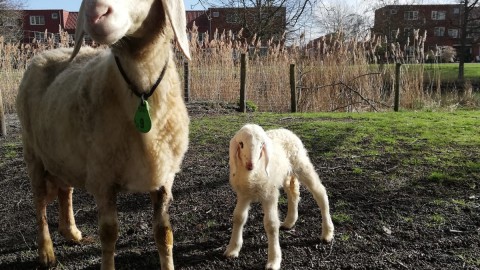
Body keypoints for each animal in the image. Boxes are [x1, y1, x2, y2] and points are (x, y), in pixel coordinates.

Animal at [15, 0, 191, 270]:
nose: (94, 14)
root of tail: (46, 53)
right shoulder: (103, 178)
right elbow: (109, 233)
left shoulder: (164, 178)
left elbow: (164, 233)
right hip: (33, 153)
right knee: (39, 202)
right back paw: (46, 252)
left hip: (64, 153)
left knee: (65, 191)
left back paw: (71, 232)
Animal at [225, 123, 334, 268]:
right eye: (241, 144)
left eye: (262, 145)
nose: (250, 165)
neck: (253, 174)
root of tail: (284, 130)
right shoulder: (243, 195)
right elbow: (238, 217)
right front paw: (232, 249)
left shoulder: (270, 195)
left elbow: (271, 224)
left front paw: (274, 260)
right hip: (286, 173)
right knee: (293, 193)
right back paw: (289, 222)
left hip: (301, 164)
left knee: (320, 192)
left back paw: (327, 232)